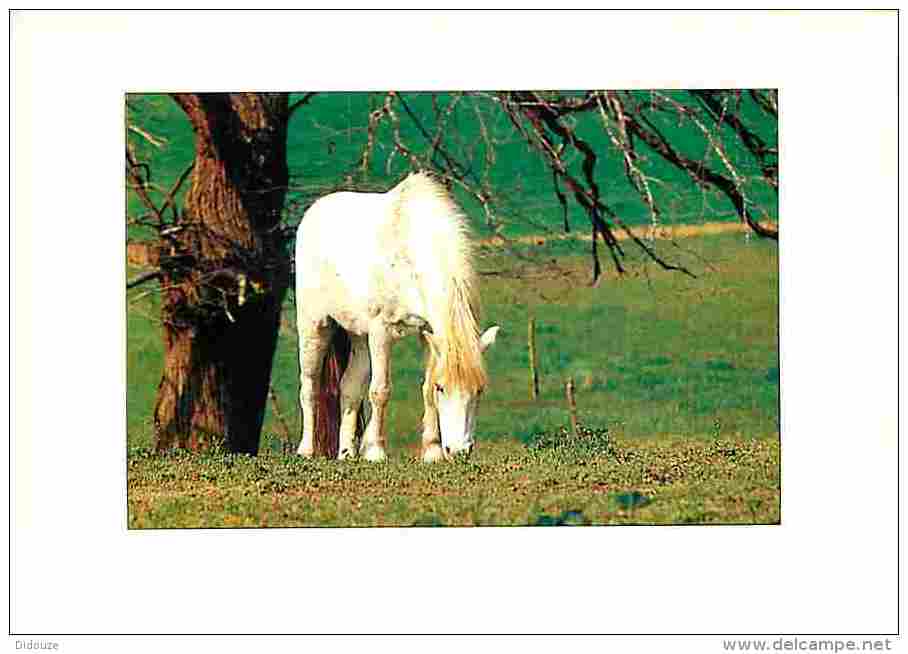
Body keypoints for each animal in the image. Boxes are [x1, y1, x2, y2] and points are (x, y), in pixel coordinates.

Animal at [294, 172, 500, 464]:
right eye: (443, 388)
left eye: (479, 389)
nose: (459, 451)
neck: (411, 251)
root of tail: (314, 211)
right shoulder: (382, 332)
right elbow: (380, 390)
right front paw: (375, 451)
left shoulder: (428, 331)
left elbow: (423, 388)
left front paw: (432, 451)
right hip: (314, 326)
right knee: (309, 385)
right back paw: (307, 450)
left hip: (359, 336)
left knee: (349, 387)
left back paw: (346, 452)